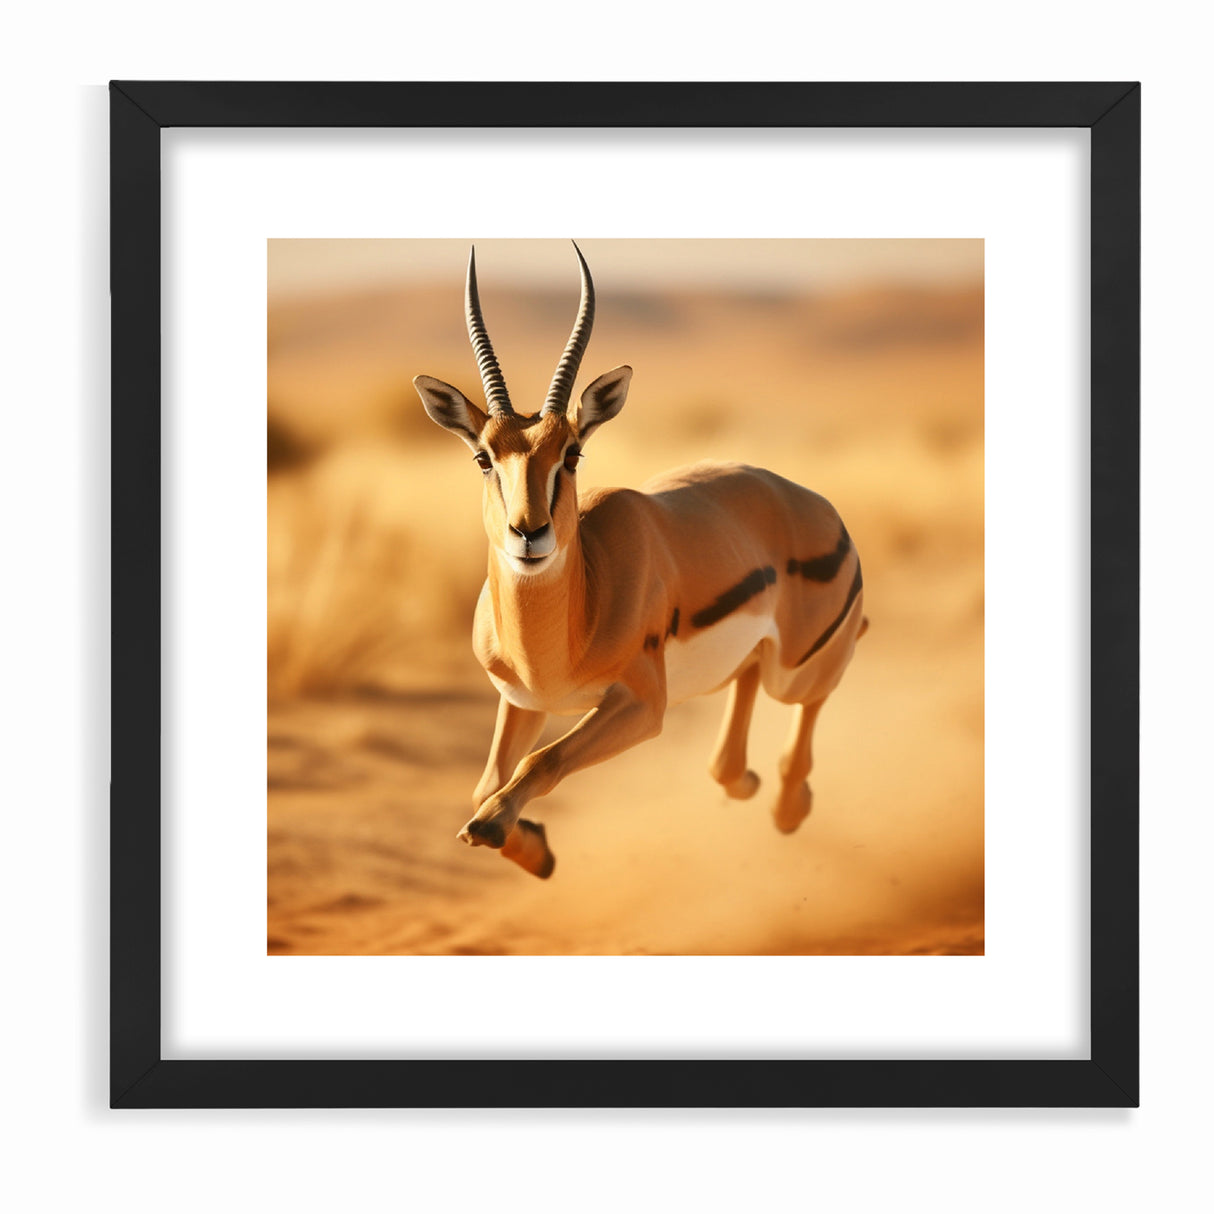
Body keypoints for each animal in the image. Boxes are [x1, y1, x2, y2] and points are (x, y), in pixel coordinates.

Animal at [413, 243, 867, 880]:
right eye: (484, 457)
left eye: (572, 453)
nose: (529, 533)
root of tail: (817, 505)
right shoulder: (523, 702)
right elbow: (486, 784)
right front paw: (536, 850)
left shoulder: (643, 705)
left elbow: (537, 764)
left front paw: (499, 829)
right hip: (761, 662)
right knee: (742, 699)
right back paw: (746, 784)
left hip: (796, 670)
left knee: (822, 678)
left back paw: (787, 806)